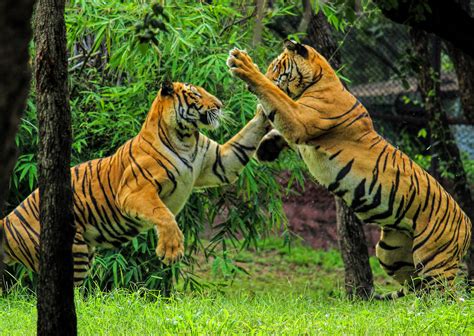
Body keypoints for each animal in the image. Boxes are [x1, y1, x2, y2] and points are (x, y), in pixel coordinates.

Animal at [0, 80, 270, 284]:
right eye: (196, 93)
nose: (220, 105)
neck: (186, 138)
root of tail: (7, 220)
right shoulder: (135, 191)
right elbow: (163, 214)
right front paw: (170, 250)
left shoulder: (219, 163)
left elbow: (246, 138)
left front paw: (264, 109)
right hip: (71, 255)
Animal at [228, 40, 472, 300]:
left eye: (276, 67)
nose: (266, 73)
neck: (318, 81)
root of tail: (468, 224)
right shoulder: (300, 129)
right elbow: (279, 129)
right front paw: (266, 149)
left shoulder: (300, 119)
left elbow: (275, 97)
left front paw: (244, 66)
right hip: (390, 253)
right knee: (419, 288)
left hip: (434, 261)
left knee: (445, 298)